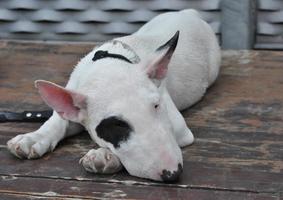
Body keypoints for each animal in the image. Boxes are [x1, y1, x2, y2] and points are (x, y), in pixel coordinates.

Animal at [6, 9, 220, 181]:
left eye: (157, 106)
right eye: (116, 125)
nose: (172, 173)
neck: (108, 63)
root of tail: (189, 13)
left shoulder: (179, 127)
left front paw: (103, 157)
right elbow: (58, 121)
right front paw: (33, 139)